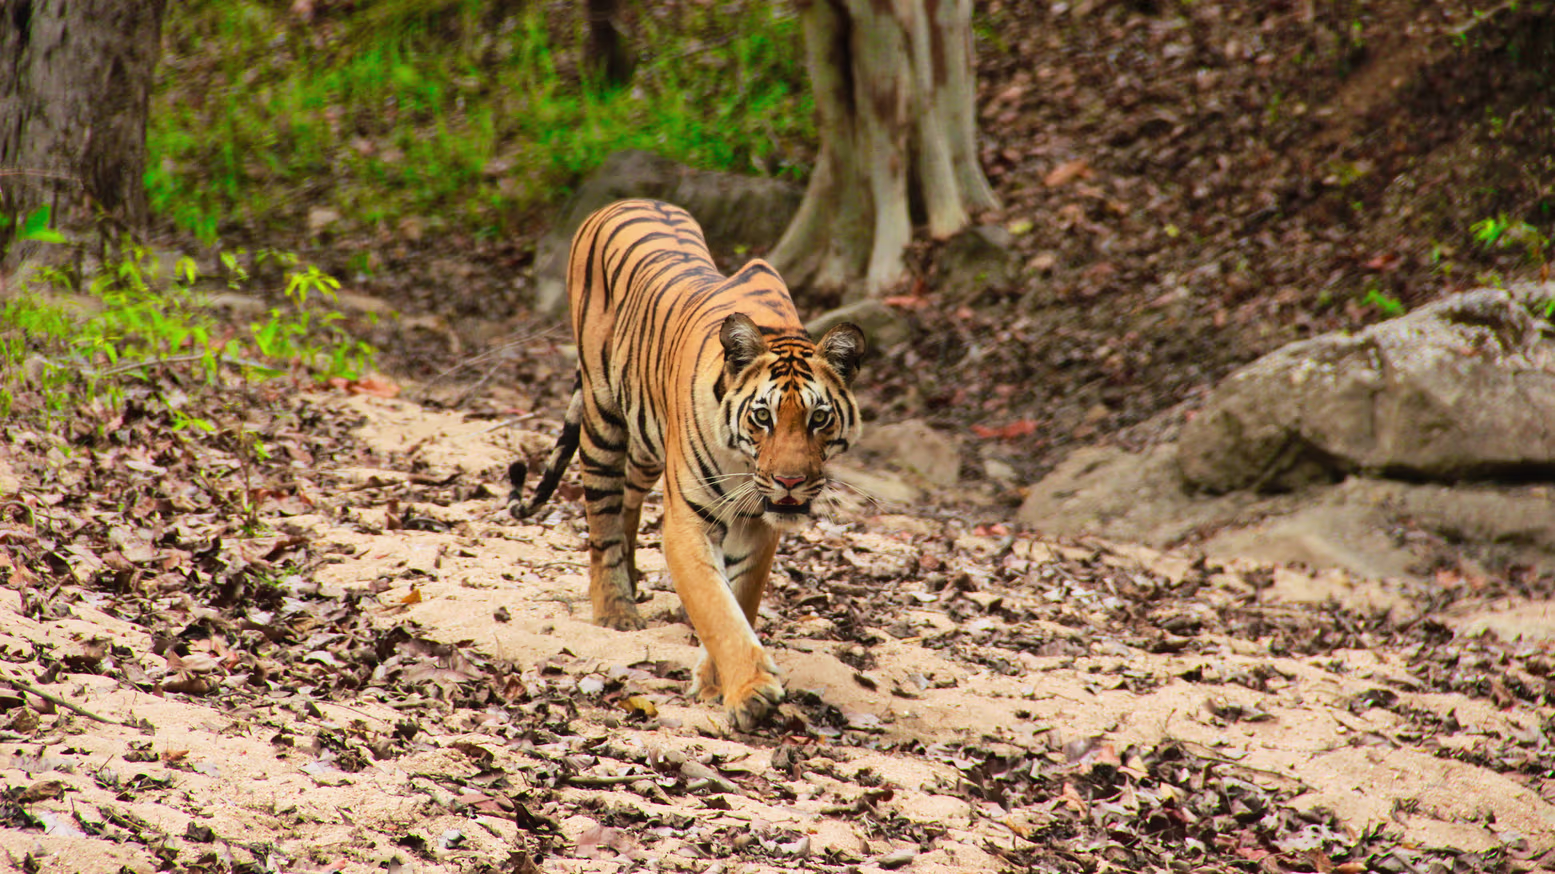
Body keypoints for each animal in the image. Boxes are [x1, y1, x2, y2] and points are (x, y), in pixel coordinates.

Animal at [509, 199, 865, 731]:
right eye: (763, 416)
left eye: (818, 418)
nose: (790, 481)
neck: (744, 467)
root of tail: (622, 202)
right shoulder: (688, 523)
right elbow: (715, 605)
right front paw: (750, 691)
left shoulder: (760, 526)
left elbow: (741, 598)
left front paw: (717, 682)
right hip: (602, 418)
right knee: (602, 518)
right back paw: (616, 608)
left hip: (646, 444)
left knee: (628, 501)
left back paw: (633, 580)